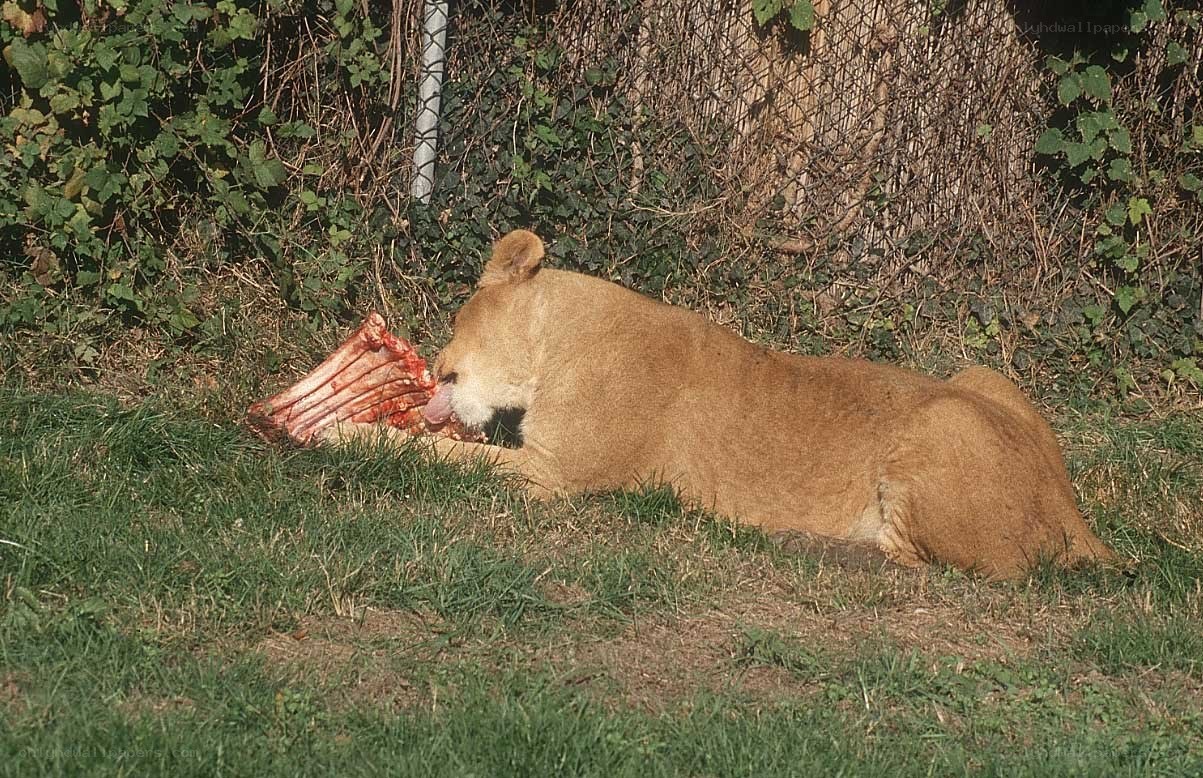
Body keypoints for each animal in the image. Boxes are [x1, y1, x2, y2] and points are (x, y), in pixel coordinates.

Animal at [328, 228, 1118, 578]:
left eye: (460, 316)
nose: (434, 366)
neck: (559, 337)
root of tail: (1073, 510)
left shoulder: (552, 475)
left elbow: (428, 451)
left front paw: (338, 432)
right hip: (978, 373)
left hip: (941, 420)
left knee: (928, 562)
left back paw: (800, 542)